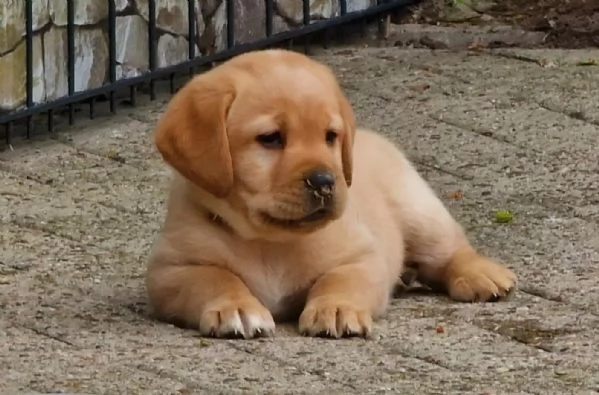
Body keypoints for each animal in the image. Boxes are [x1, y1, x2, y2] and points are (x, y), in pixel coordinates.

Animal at [145, 48, 516, 340]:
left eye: (330, 136)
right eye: (271, 138)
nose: (324, 181)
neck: (270, 242)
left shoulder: (363, 257)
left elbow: (340, 279)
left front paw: (336, 309)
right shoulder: (170, 270)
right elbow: (214, 277)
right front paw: (235, 307)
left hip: (419, 209)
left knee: (449, 250)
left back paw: (481, 275)